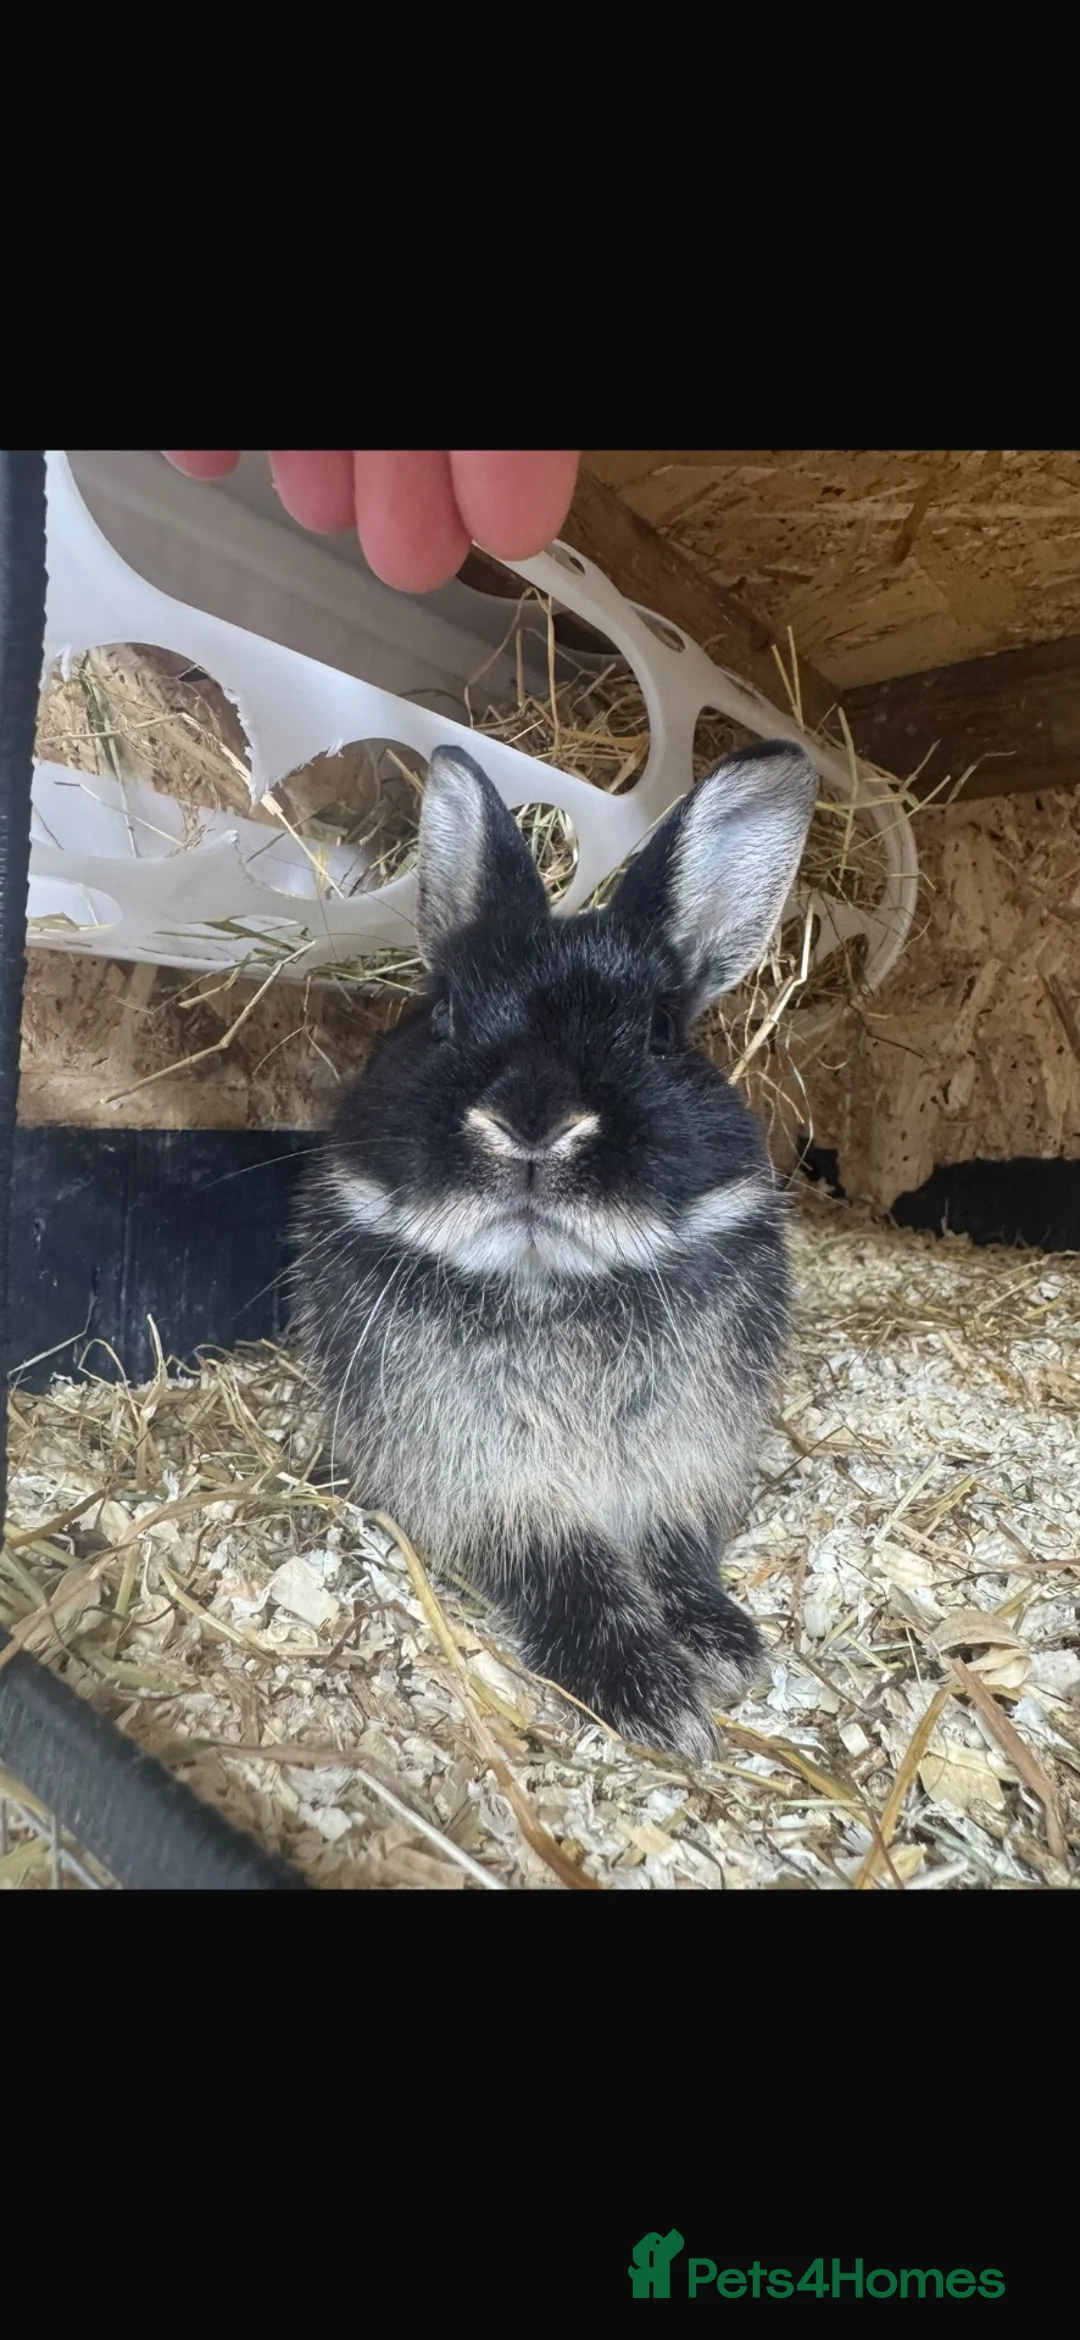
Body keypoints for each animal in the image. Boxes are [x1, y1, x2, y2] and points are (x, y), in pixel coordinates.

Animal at [292, 736, 817, 1762]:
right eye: (446, 1013)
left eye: (659, 1031)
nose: (532, 1125)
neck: (548, 1287)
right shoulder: (492, 1491)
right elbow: (571, 1570)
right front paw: (654, 1699)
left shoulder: (682, 1469)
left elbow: (674, 1553)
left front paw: (722, 1645)